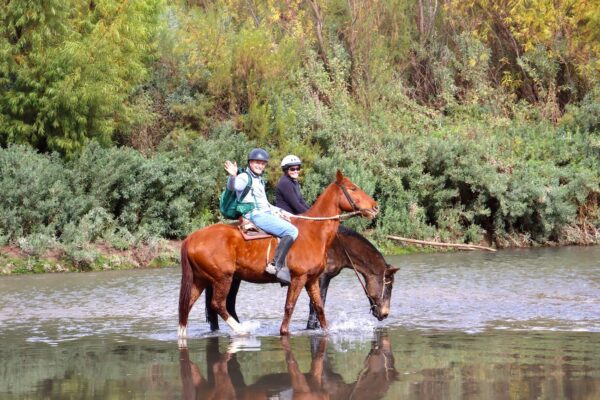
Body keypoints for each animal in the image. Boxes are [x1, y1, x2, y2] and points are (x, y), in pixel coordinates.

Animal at [176, 170, 380, 336]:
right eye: (353, 188)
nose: (375, 207)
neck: (313, 233)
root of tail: (191, 238)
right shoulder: (298, 278)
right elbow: (289, 307)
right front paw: (283, 331)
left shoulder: (312, 280)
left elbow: (319, 308)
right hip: (223, 279)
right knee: (218, 304)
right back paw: (242, 329)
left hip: (201, 280)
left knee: (187, 306)